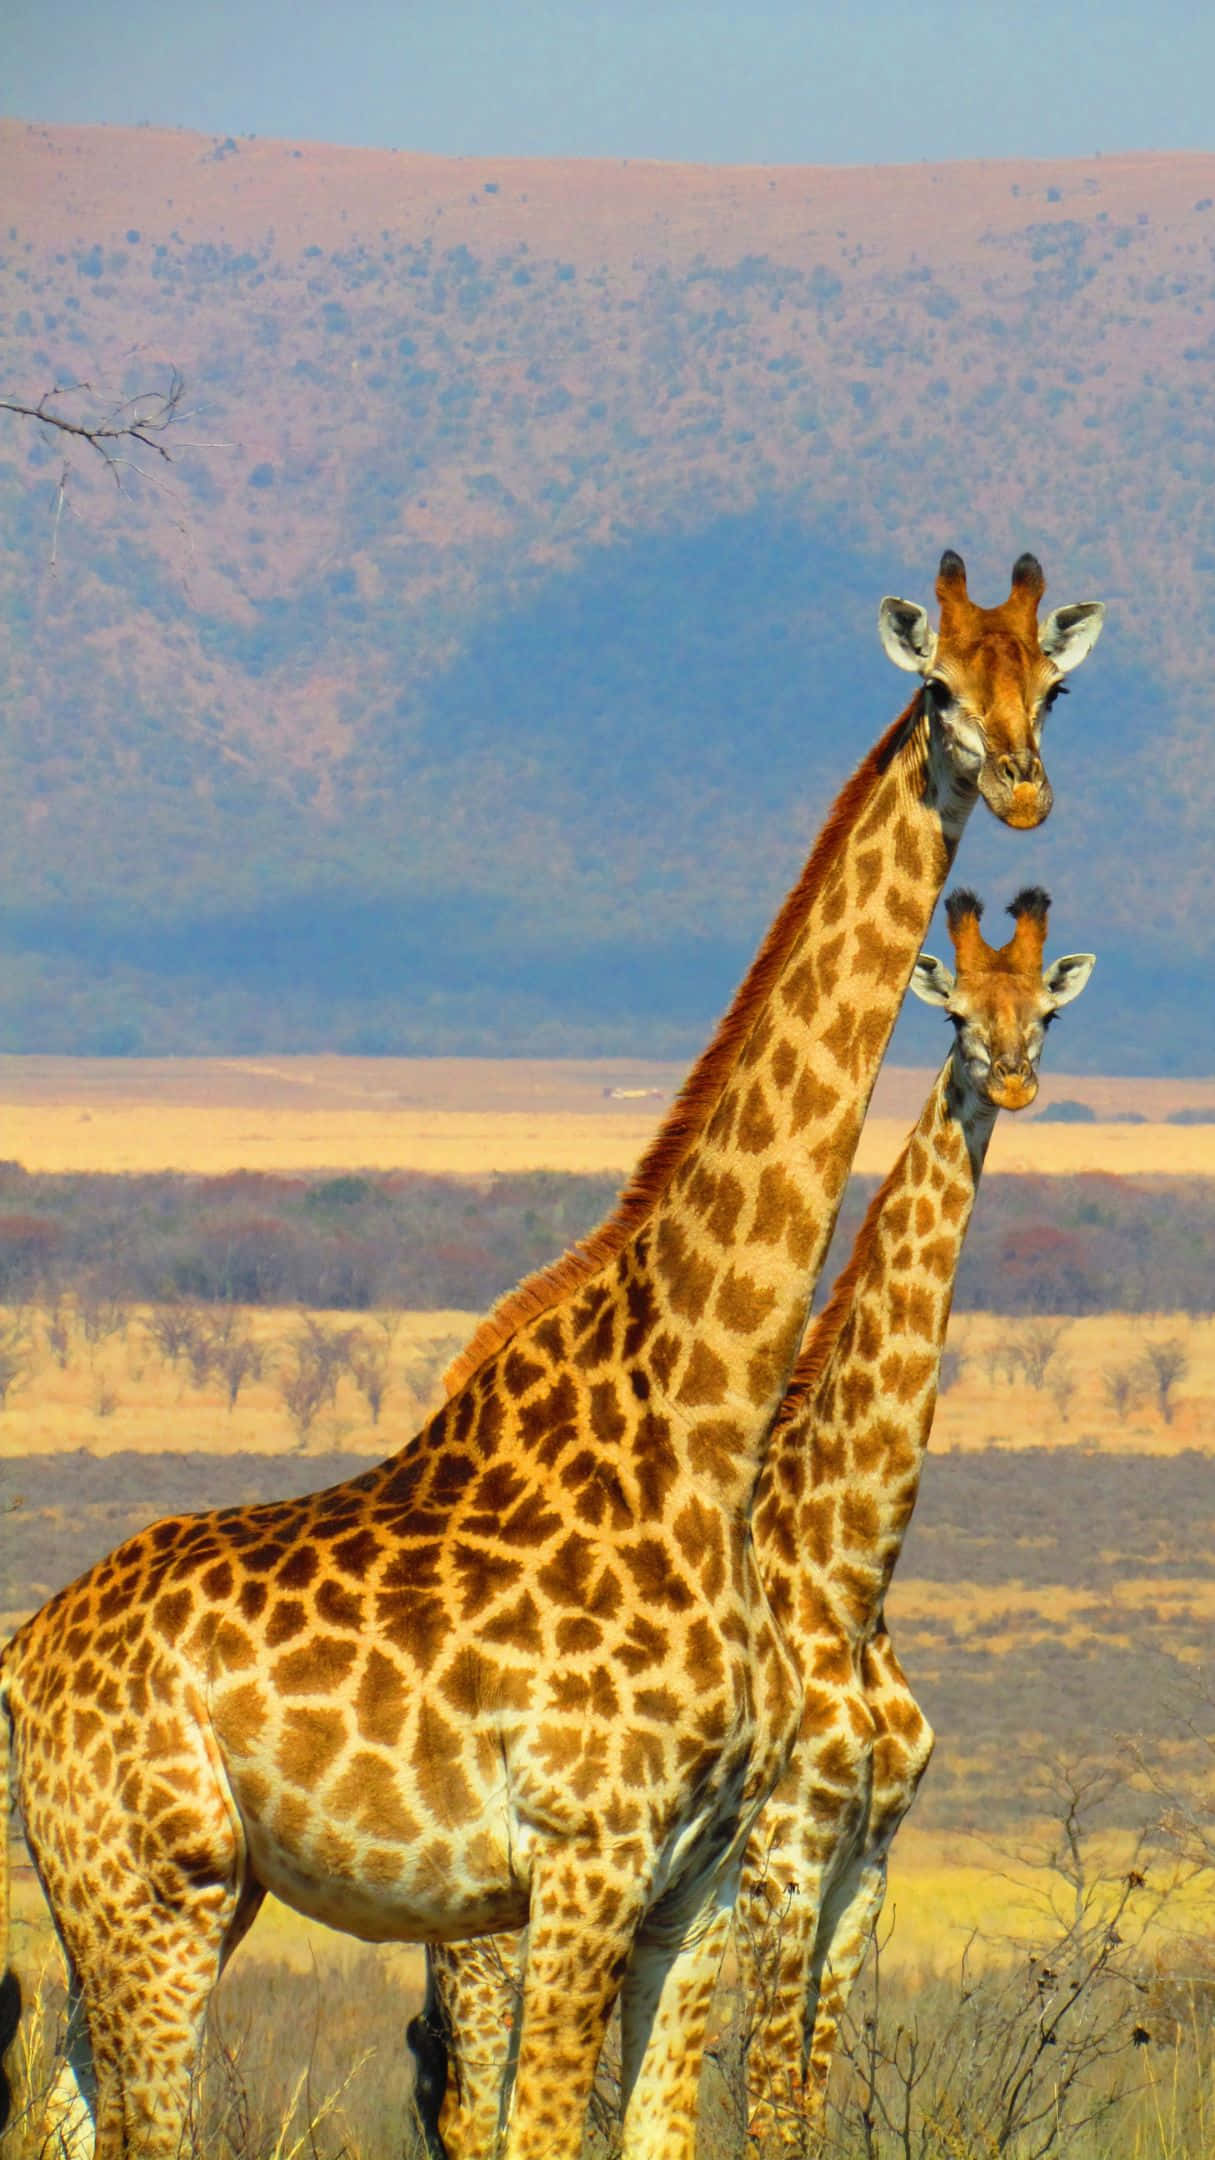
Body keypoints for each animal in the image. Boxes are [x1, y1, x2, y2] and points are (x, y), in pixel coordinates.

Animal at [409, 885, 1096, 2160]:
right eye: (959, 1014)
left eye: (1047, 1013)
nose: (1015, 1078)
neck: (850, 1568)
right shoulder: (782, 1854)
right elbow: (770, 2107)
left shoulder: (865, 1866)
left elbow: (807, 2104)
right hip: (491, 1922)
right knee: (473, 2101)